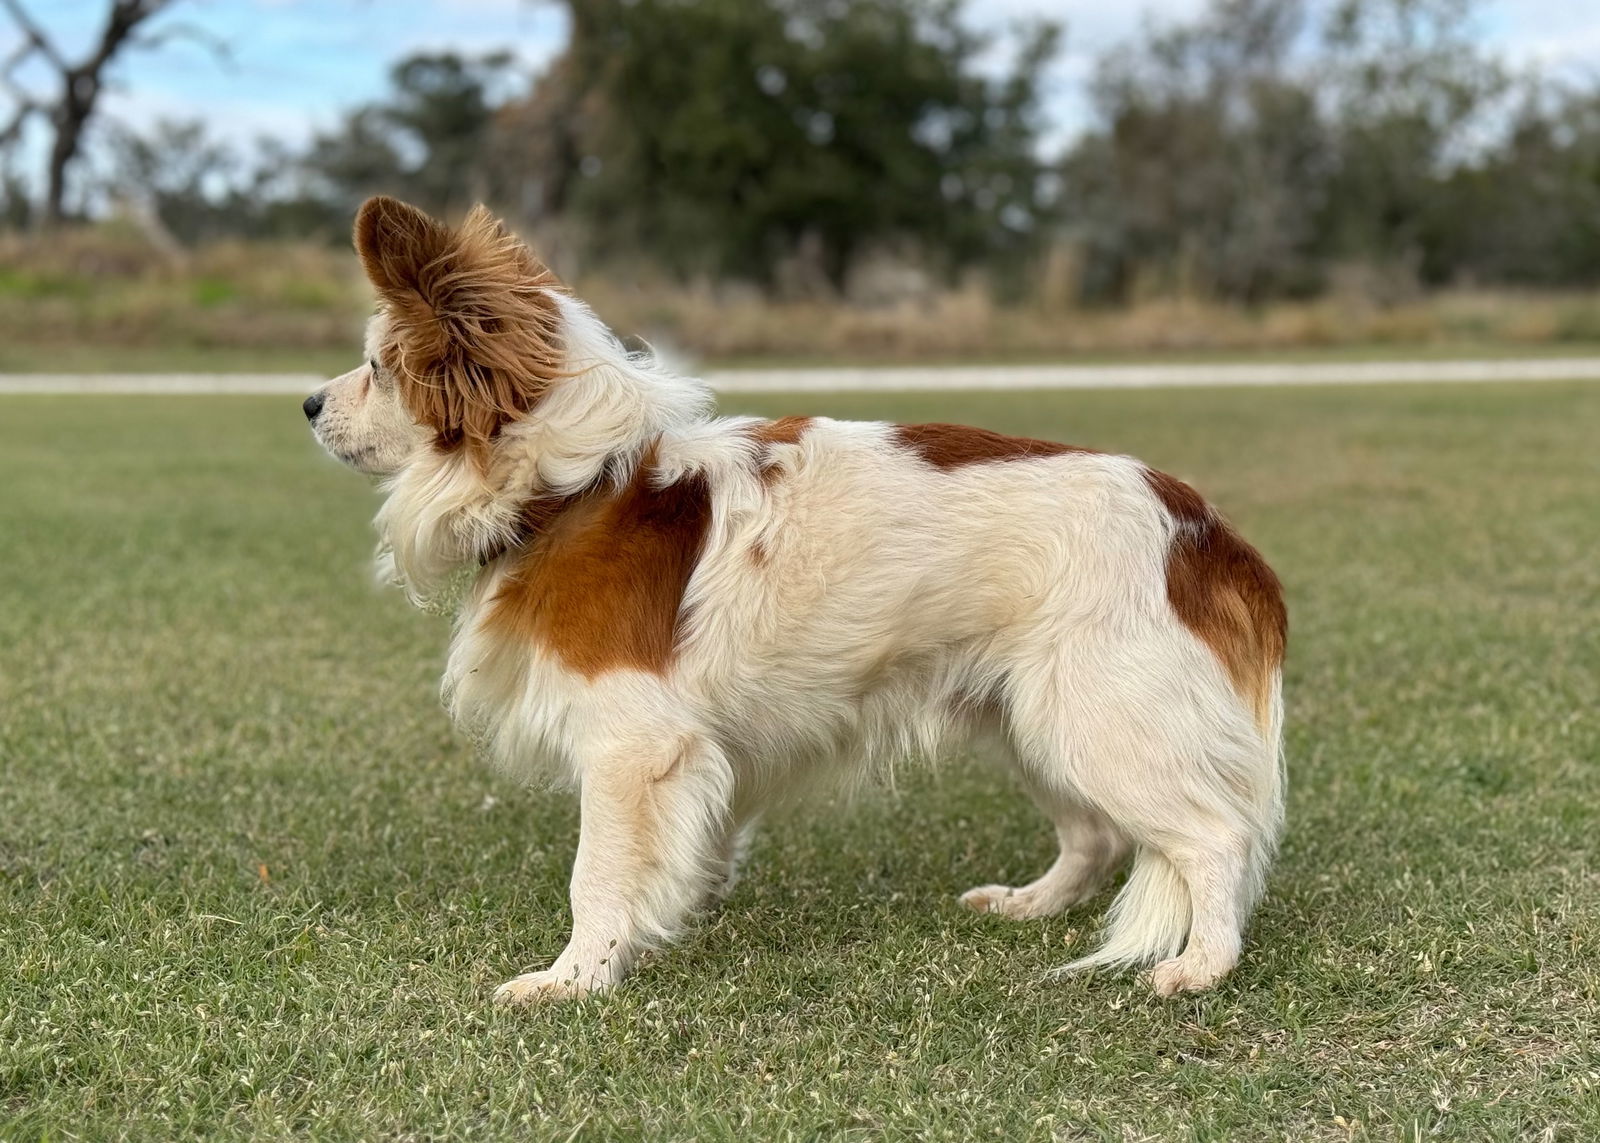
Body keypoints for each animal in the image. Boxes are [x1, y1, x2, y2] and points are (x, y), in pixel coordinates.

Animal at [308, 200, 1286, 998]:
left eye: (375, 368)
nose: (309, 403)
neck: (569, 485)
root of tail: (1204, 527)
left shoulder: (632, 745)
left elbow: (597, 872)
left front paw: (576, 977)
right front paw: (675, 911)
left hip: (1097, 718)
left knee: (1214, 838)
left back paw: (1202, 965)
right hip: (1034, 718)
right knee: (1096, 836)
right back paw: (1032, 904)